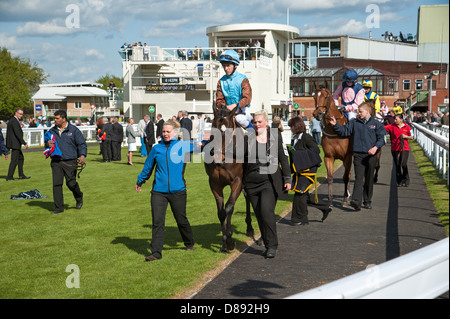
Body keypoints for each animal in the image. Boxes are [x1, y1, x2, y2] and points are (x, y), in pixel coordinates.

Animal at [205, 104, 255, 254]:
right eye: (213, 127)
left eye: (227, 129)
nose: (216, 155)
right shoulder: (214, 184)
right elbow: (221, 212)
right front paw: (224, 243)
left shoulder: (237, 181)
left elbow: (229, 207)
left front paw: (231, 241)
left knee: (248, 197)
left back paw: (250, 229)